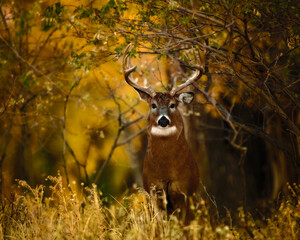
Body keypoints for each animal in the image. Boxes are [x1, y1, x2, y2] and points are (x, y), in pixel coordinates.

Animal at [123, 44, 203, 221]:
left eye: (173, 105)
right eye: (153, 105)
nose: (163, 120)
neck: (166, 169)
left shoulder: (183, 191)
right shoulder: (155, 190)